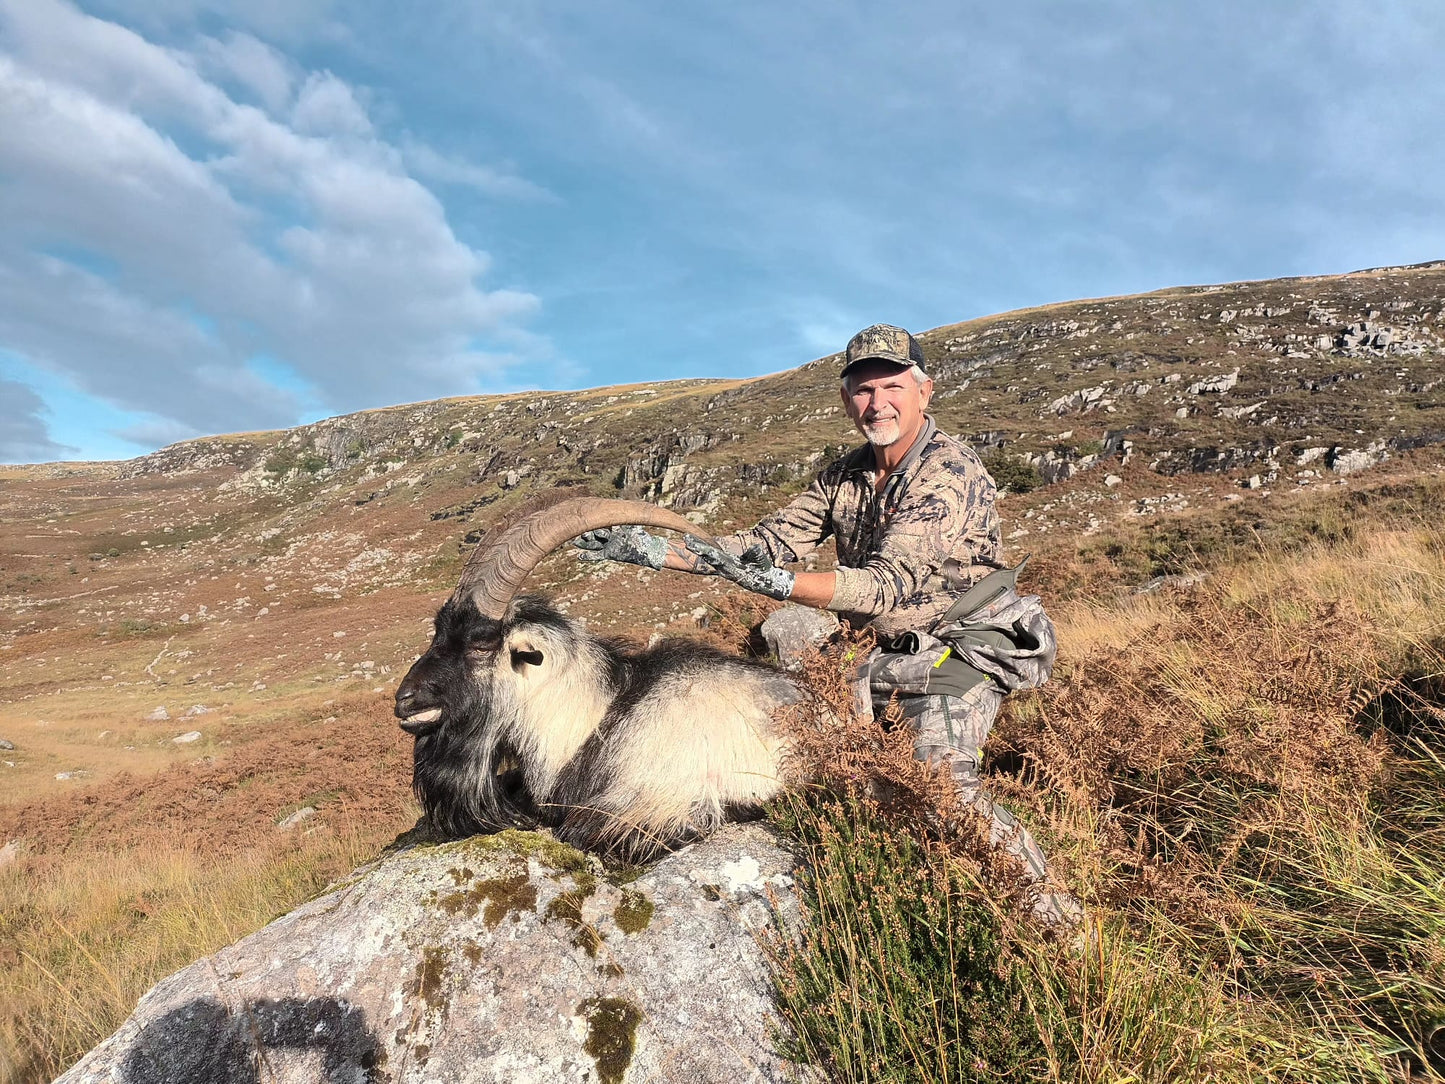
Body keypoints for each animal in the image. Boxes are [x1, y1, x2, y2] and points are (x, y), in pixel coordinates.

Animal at [395, 498, 804, 860]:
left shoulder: (652, 802)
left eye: (481, 645)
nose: (404, 699)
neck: (597, 718)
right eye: (437, 631)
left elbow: (578, 830)